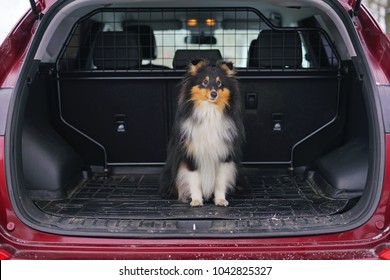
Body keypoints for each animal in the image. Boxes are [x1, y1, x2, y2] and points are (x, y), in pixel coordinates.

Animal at [158, 60, 244, 207]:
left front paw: (220, 200)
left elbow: (220, 181)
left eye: (219, 83)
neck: (209, 111)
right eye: (205, 82)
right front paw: (196, 201)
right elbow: (195, 180)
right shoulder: (190, 154)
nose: (214, 94)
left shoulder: (224, 155)